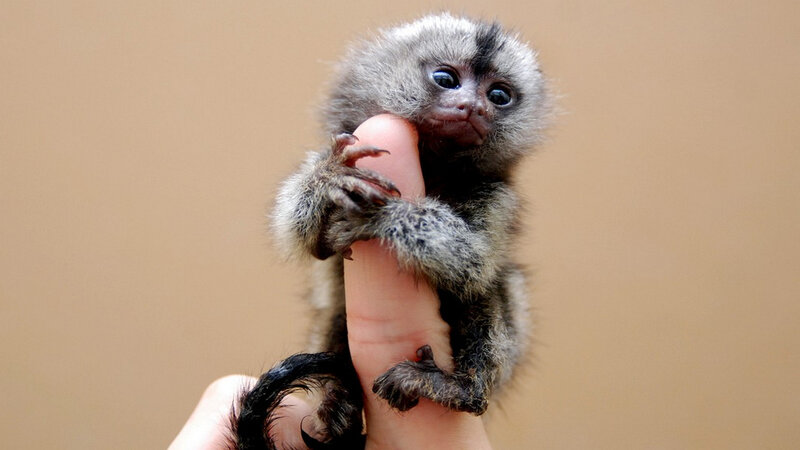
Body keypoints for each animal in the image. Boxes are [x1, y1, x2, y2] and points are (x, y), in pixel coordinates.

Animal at [231, 13, 550, 450]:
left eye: (499, 95)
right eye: (446, 79)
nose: (473, 107)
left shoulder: (497, 196)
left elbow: (474, 262)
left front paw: (382, 217)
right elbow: (297, 233)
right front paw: (327, 178)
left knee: (496, 285)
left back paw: (462, 390)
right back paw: (339, 401)